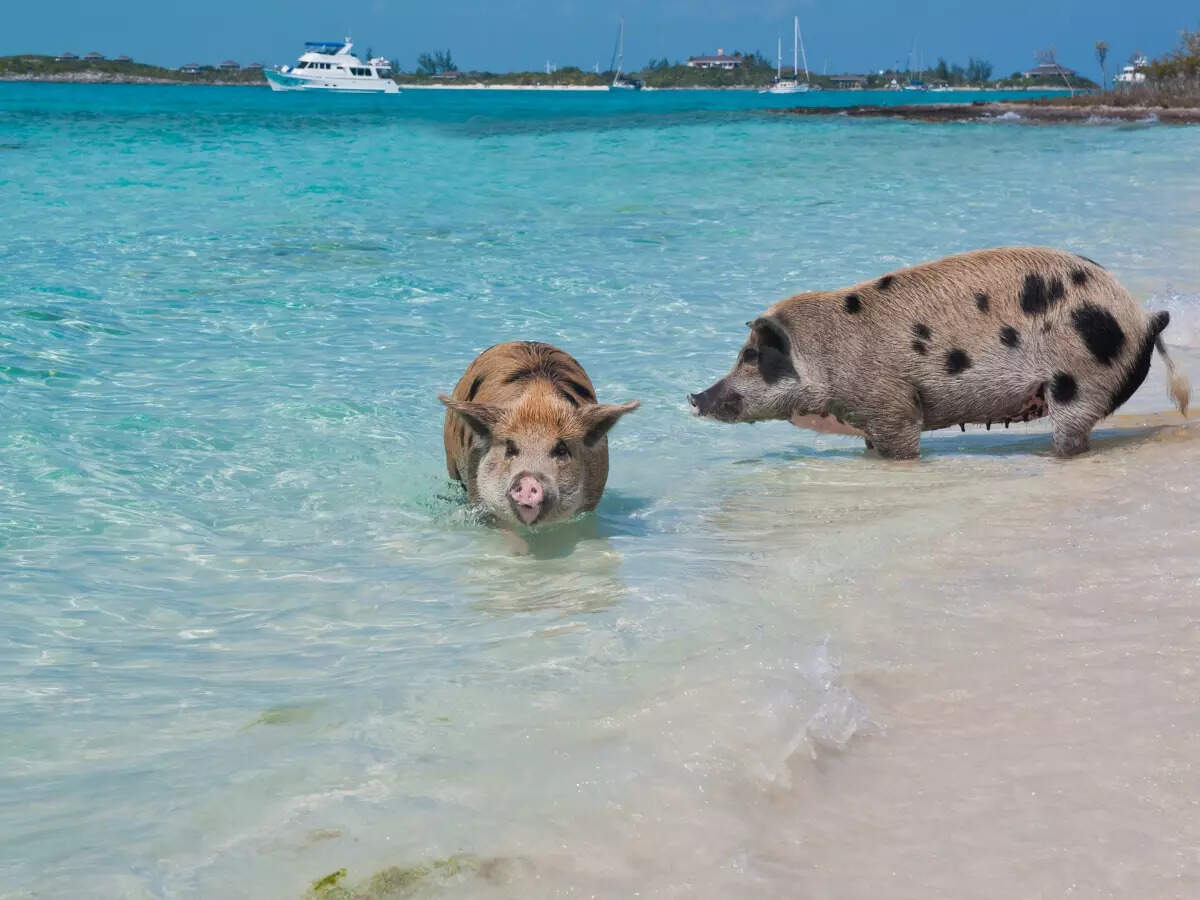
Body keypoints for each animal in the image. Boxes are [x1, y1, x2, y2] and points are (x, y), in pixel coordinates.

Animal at [689, 247, 1190, 459]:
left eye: (750, 357)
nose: (694, 396)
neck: (828, 354)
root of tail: (1143, 316)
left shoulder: (891, 402)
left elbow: (901, 446)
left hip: (1080, 378)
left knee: (1072, 434)